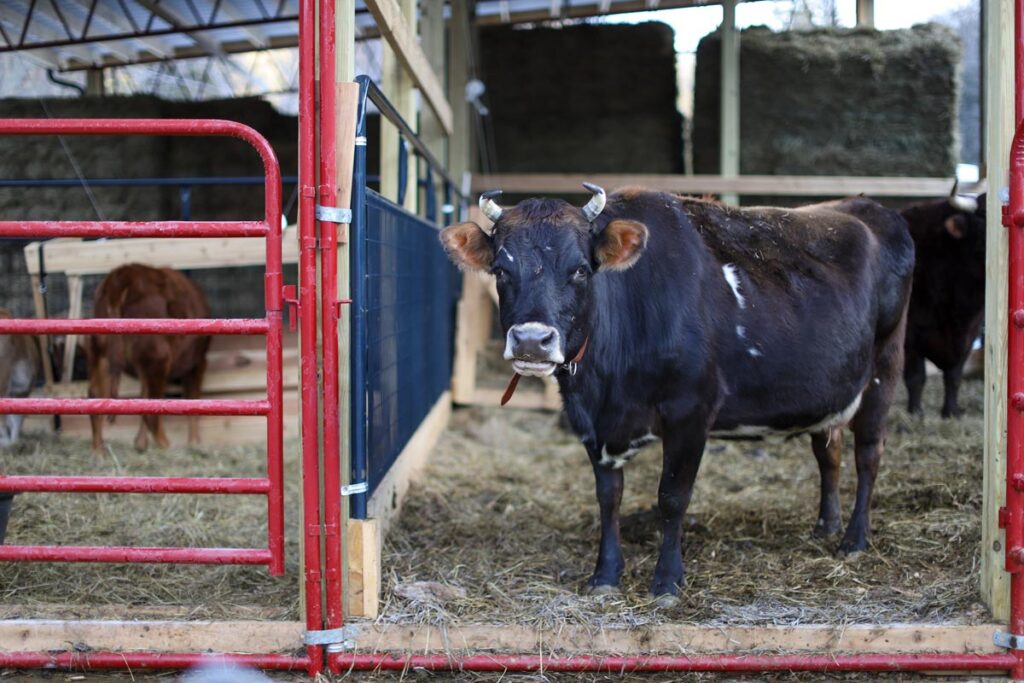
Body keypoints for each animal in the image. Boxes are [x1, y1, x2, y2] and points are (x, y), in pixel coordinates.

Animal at [87, 264, 210, 450]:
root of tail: (123, 274)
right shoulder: (197, 362)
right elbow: (193, 402)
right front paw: (195, 443)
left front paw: (140, 443)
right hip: (157, 357)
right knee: (152, 411)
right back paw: (167, 447)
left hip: (101, 353)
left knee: (95, 394)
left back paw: (99, 451)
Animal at [440, 185, 913, 598]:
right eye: (501, 270)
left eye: (580, 269)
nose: (531, 341)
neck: (605, 386)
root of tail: (868, 205)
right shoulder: (592, 422)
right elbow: (608, 497)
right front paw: (605, 575)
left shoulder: (690, 410)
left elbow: (672, 497)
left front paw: (667, 581)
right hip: (830, 389)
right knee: (828, 451)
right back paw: (825, 526)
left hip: (884, 368)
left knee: (869, 454)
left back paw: (854, 540)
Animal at [901, 189, 987, 419]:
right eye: (983, 223)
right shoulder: (911, 335)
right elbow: (916, 376)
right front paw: (915, 412)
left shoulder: (970, 334)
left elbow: (953, 376)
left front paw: (951, 411)